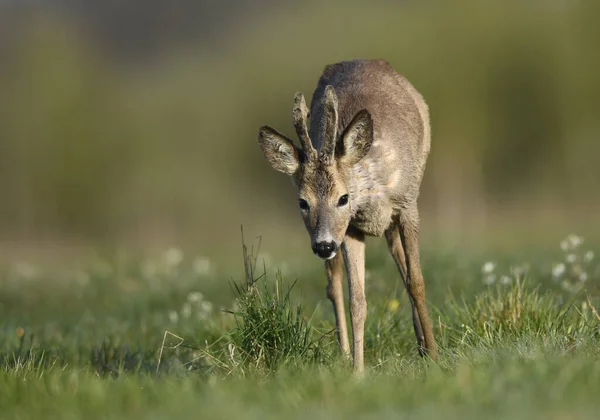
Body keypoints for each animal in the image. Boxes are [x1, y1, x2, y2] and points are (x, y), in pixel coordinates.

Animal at [256, 59, 436, 374]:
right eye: (302, 202)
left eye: (343, 198)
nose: (323, 245)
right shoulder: (351, 229)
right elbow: (358, 301)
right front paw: (357, 371)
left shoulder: (407, 206)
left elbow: (417, 282)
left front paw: (437, 355)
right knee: (334, 284)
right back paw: (346, 353)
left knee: (401, 265)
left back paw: (424, 346)